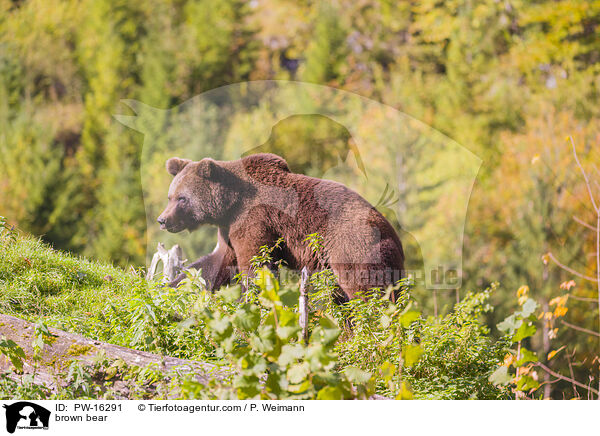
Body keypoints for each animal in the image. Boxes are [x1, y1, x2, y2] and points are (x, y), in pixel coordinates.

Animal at [157, 154, 406, 304]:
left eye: (182, 199)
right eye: (170, 196)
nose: (162, 220)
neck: (229, 205)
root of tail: (391, 232)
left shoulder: (253, 220)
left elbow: (256, 265)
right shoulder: (228, 230)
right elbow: (212, 265)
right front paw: (169, 288)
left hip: (351, 246)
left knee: (366, 291)